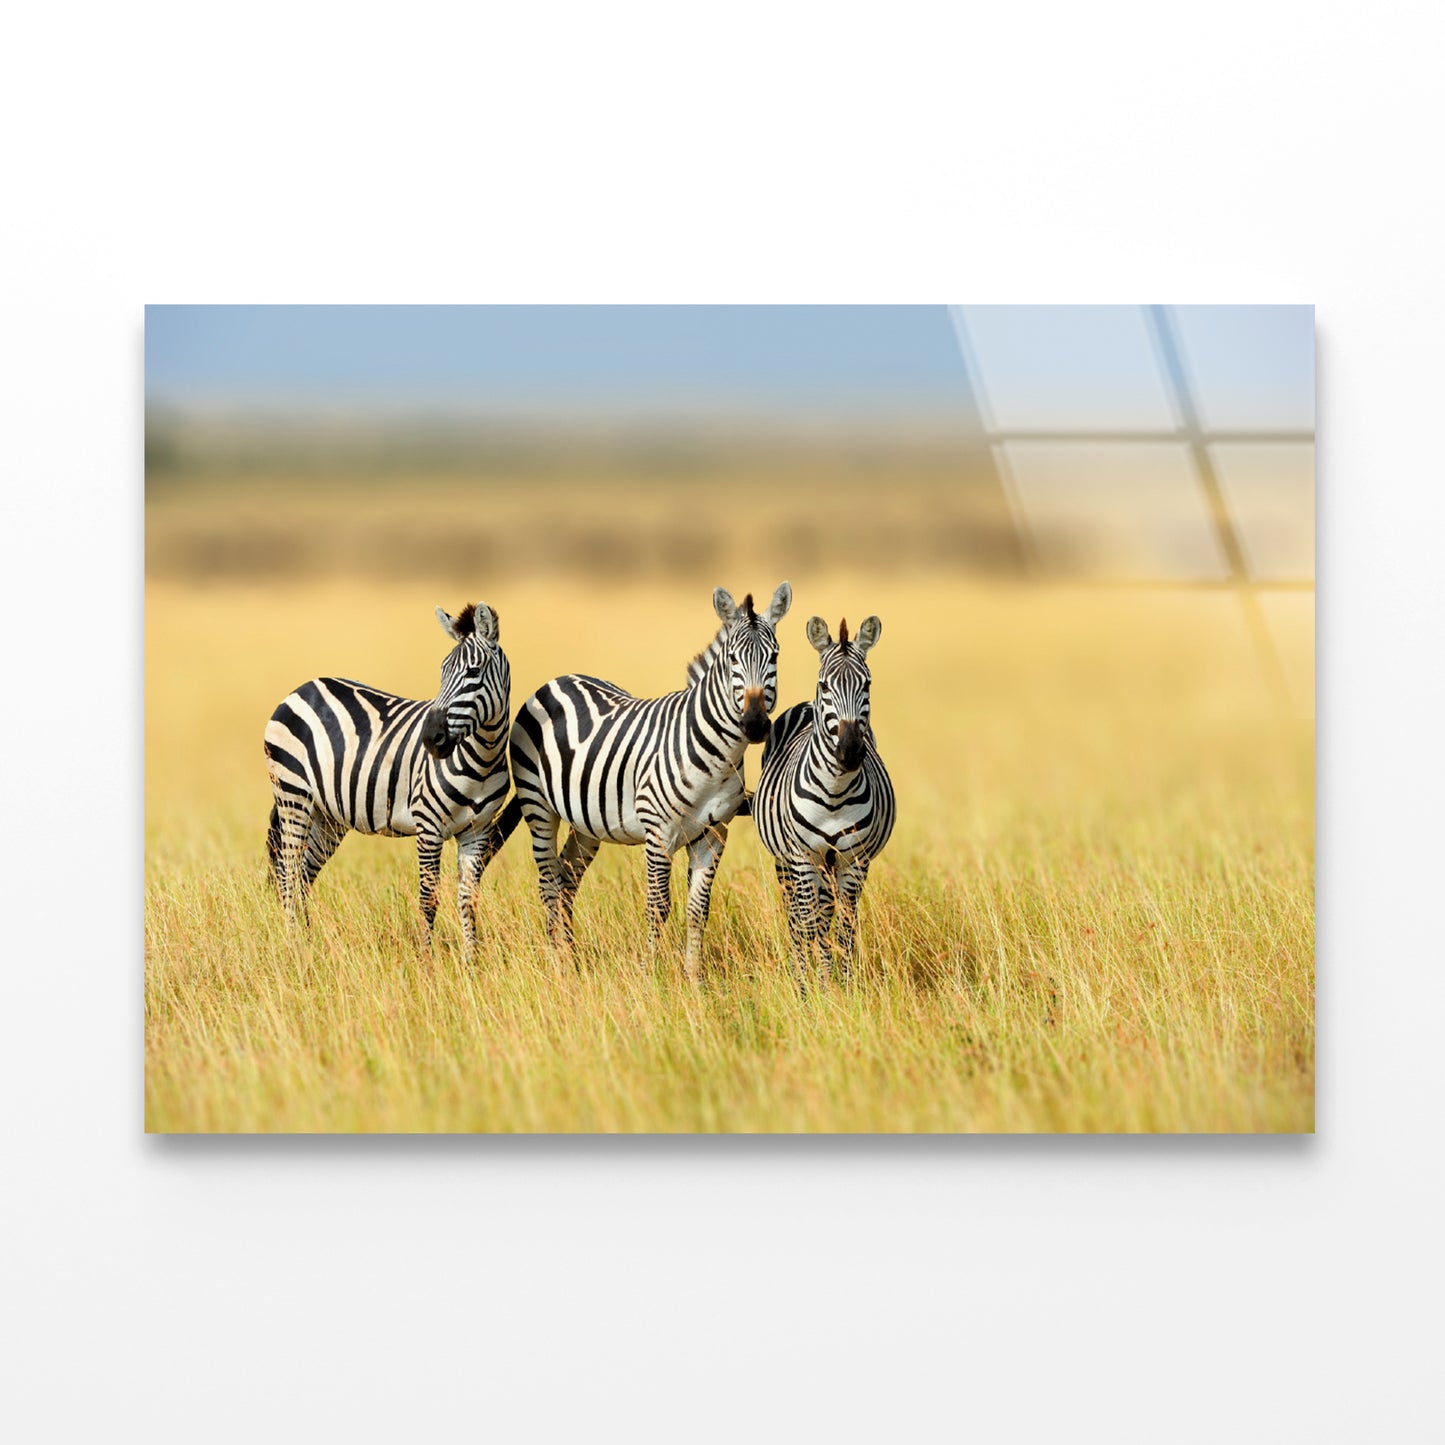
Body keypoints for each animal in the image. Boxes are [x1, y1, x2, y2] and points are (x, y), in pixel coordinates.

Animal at [262, 600, 515, 957]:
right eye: (442, 672)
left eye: (473, 672)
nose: (431, 738)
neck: (482, 759)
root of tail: (302, 688)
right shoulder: (429, 825)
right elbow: (428, 899)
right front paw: (426, 961)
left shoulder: (476, 830)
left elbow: (469, 900)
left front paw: (472, 963)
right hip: (293, 795)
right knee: (287, 872)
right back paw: (293, 945)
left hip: (327, 816)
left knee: (303, 876)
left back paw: (308, 943)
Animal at [508, 582, 792, 980]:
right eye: (733, 659)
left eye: (775, 657)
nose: (754, 724)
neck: (718, 757)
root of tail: (558, 679)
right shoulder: (658, 833)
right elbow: (658, 908)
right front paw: (651, 976)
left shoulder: (714, 835)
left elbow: (698, 910)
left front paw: (694, 980)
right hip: (538, 806)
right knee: (548, 882)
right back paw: (556, 964)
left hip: (586, 822)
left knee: (566, 878)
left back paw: (572, 959)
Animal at [752, 614, 895, 988]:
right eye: (825, 685)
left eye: (867, 685)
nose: (850, 751)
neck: (835, 790)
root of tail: (805, 703)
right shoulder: (802, 857)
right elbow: (807, 923)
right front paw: (808, 986)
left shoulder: (854, 861)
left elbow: (844, 926)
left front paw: (842, 985)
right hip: (787, 861)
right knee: (797, 915)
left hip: (830, 865)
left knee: (827, 912)